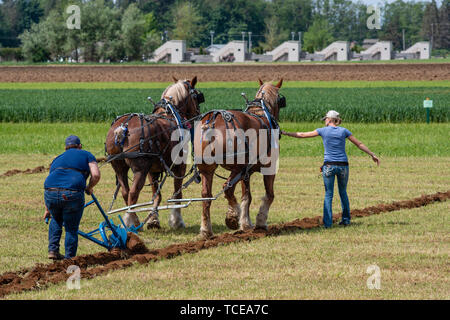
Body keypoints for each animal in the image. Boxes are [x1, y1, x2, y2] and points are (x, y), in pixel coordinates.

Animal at [193, 78, 284, 238]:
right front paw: (260, 222)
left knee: (206, 196)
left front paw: (246, 222)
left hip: (208, 169)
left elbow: (247, 196)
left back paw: (206, 230)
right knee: (227, 188)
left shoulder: (246, 173)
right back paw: (233, 216)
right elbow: (269, 195)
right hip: (237, 167)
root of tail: (211, 122)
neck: (261, 114)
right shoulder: (269, 167)